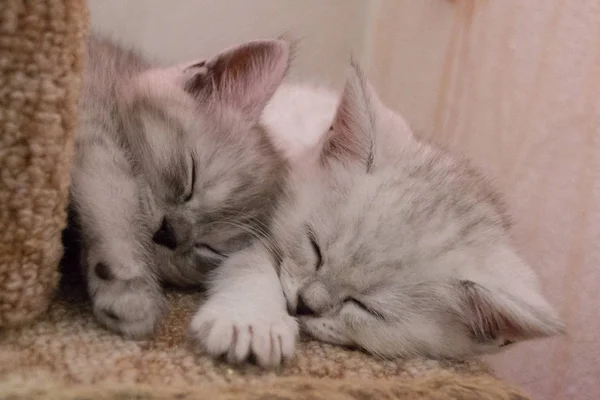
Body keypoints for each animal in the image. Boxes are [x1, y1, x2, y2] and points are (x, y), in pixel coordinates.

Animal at [70, 34, 290, 340]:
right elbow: (114, 187)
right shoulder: (87, 113)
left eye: (208, 247)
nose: (170, 234)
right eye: (190, 177)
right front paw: (129, 283)